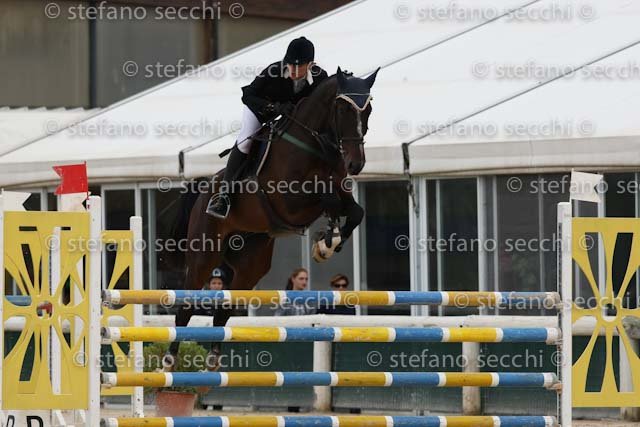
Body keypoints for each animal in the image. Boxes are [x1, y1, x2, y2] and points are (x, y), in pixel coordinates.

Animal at [164, 67, 379, 369]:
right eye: (342, 109)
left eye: (368, 109)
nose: (356, 164)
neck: (314, 144)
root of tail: (204, 189)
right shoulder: (290, 200)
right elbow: (327, 198)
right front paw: (327, 239)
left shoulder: (338, 188)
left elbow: (354, 211)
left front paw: (327, 243)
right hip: (204, 255)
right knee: (185, 306)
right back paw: (170, 359)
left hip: (251, 264)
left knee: (226, 307)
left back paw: (213, 358)